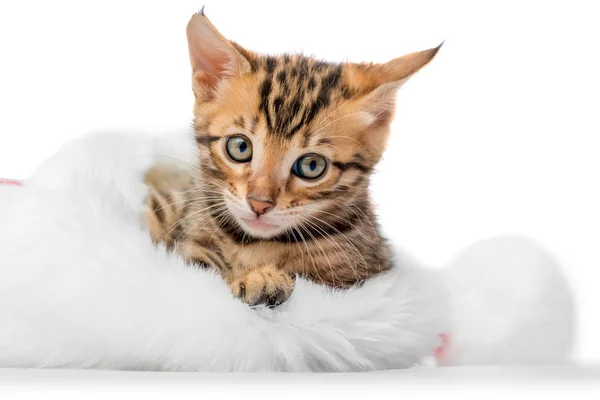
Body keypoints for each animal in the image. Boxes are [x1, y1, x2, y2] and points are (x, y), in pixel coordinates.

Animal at [143, 10, 438, 308]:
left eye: (311, 166)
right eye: (240, 147)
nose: (259, 204)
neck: (254, 245)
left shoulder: (358, 274)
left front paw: (264, 281)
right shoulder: (191, 246)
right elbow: (201, 266)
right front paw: (260, 280)